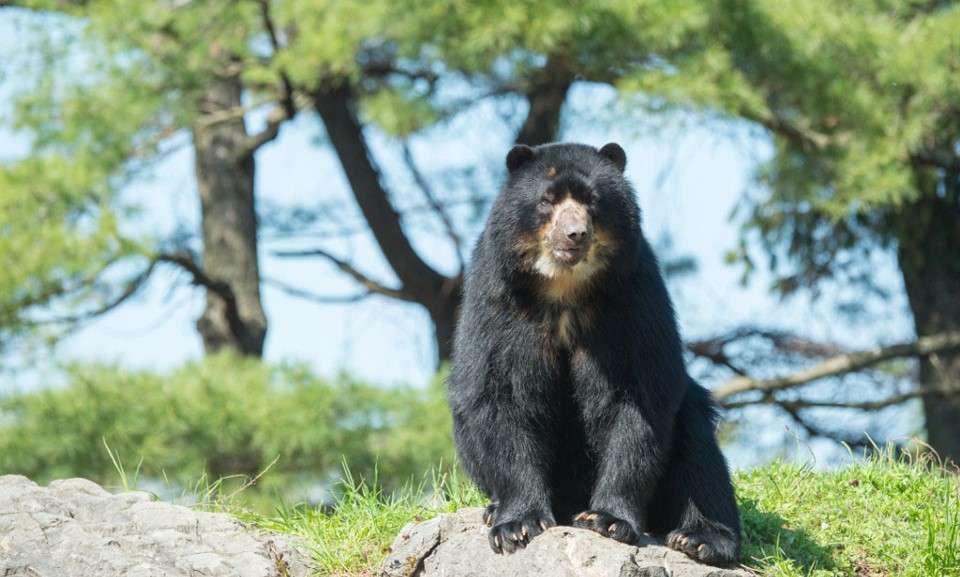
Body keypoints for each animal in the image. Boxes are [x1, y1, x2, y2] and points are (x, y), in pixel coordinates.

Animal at [447, 142, 741, 566]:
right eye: (547, 200)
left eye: (592, 200)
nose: (575, 234)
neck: (564, 287)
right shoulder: (500, 300)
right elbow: (502, 393)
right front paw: (517, 526)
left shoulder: (633, 299)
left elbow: (633, 399)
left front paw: (607, 520)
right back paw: (494, 508)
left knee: (700, 455)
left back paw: (701, 538)